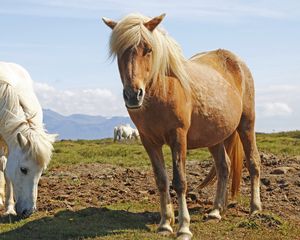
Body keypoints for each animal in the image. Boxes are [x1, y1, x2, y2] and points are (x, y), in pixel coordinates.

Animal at [102, 13, 262, 240]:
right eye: (119, 51)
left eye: (148, 49)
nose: (133, 95)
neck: (163, 89)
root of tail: (236, 62)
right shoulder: (149, 141)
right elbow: (161, 180)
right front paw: (164, 224)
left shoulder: (178, 137)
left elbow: (179, 181)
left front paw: (184, 227)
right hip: (214, 137)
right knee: (224, 167)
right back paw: (216, 211)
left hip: (246, 124)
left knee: (254, 162)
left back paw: (255, 208)